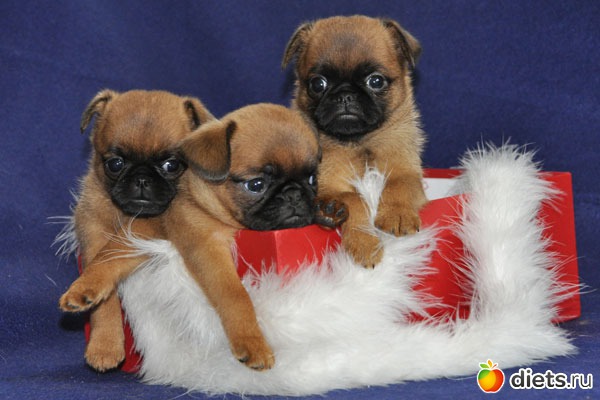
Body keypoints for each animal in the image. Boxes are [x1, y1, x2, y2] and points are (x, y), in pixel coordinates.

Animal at [59, 89, 214, 371]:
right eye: (115, 164)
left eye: (172, 165)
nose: (142, 178)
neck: (125, 215)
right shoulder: (93, 236)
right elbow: (104, 300)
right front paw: (105, 344)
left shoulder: (148, 227)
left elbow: (110, 256)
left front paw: (83, 287)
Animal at [282, 15, 428, 268]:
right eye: (318, 84)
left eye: (376, 81)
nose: (345, 95)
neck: (360, 143)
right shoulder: (330, 186)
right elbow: (355, 199)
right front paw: (365, 243)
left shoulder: (407, 174)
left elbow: (397, 186)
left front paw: (396, 214)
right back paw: (329, 214)